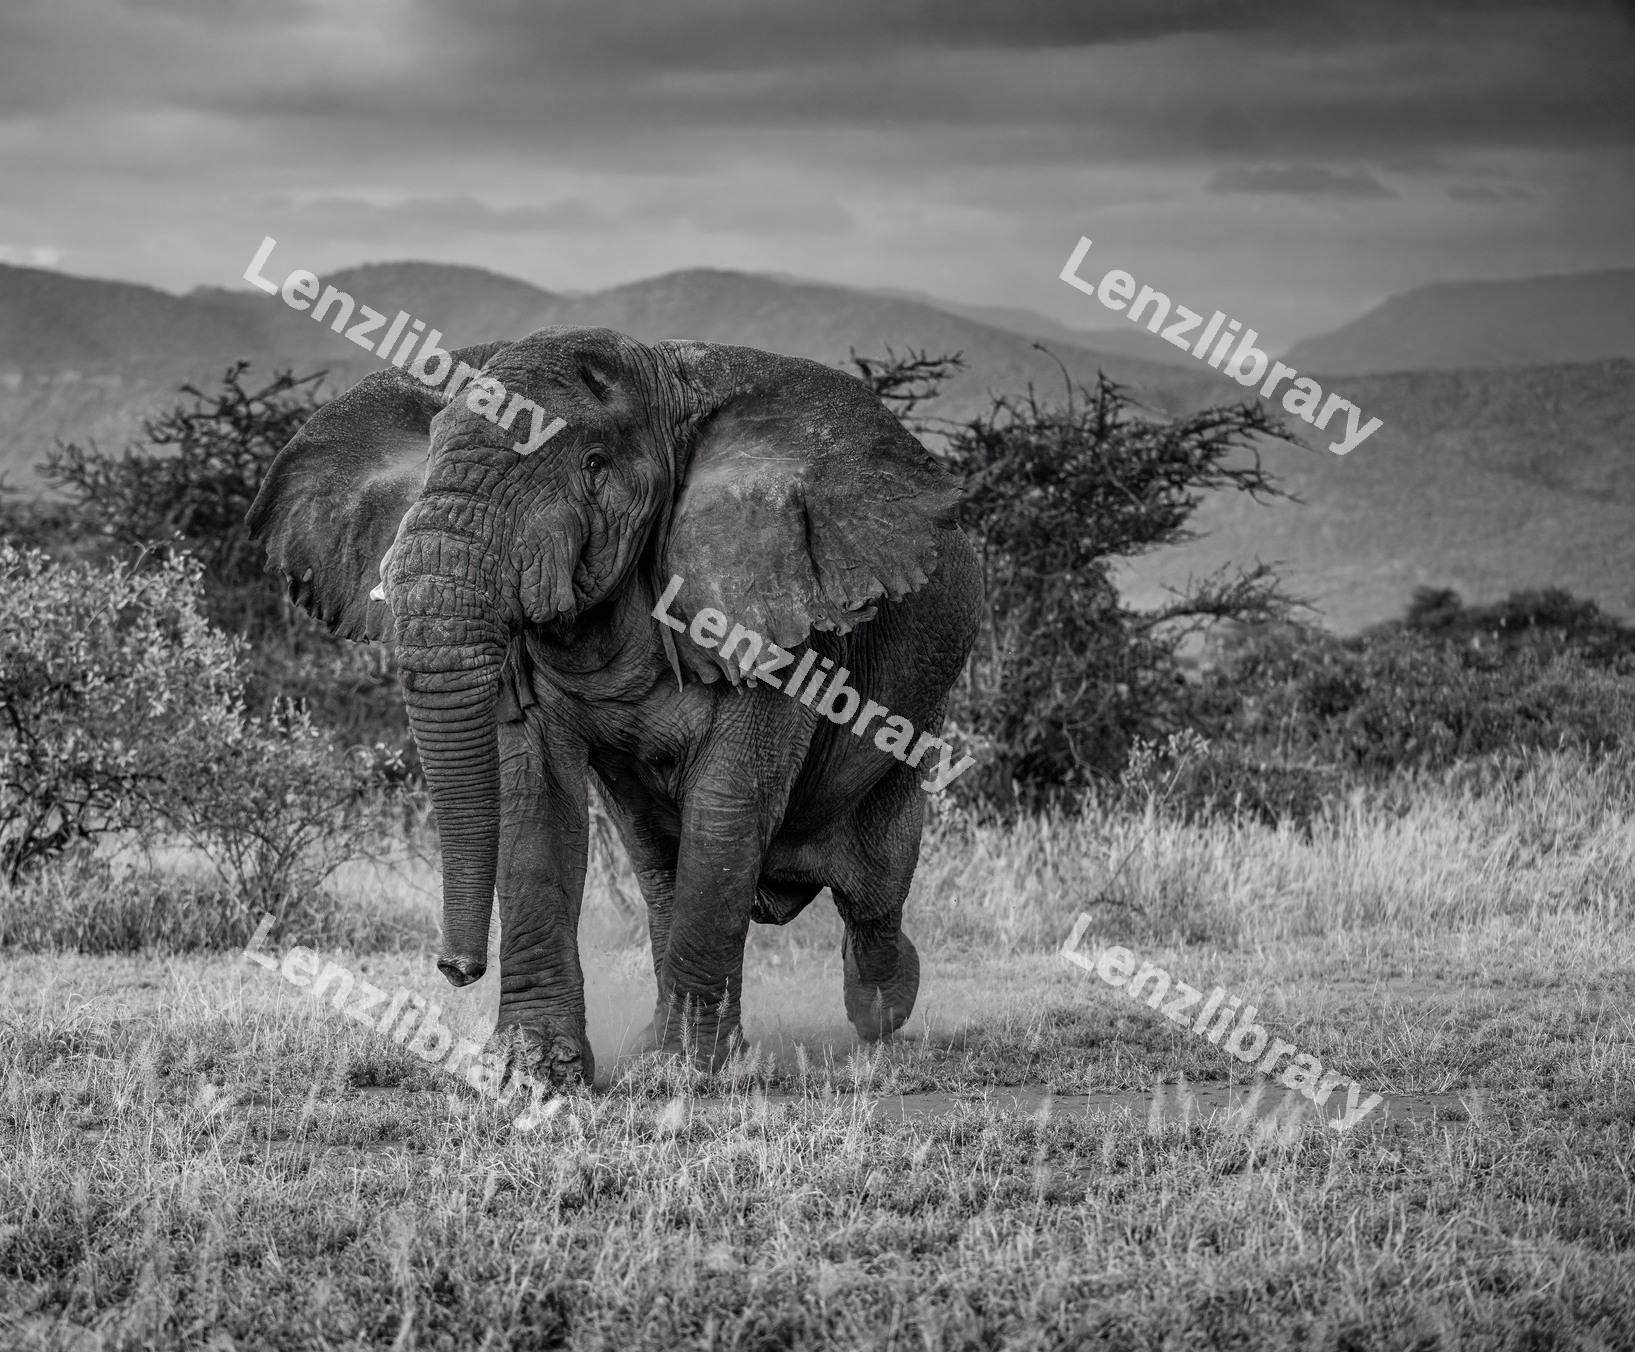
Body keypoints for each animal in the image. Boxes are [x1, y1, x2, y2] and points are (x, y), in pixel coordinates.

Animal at [246, 326, 983, 1085]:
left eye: (594, 465)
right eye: (432, 450)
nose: (454, 969)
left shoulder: (777, 614)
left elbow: (729, 799)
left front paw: (681, 1073)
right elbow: (534, 795)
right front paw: (530, 1070)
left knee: (874, 890)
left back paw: (880, 1009)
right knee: (662, 870)